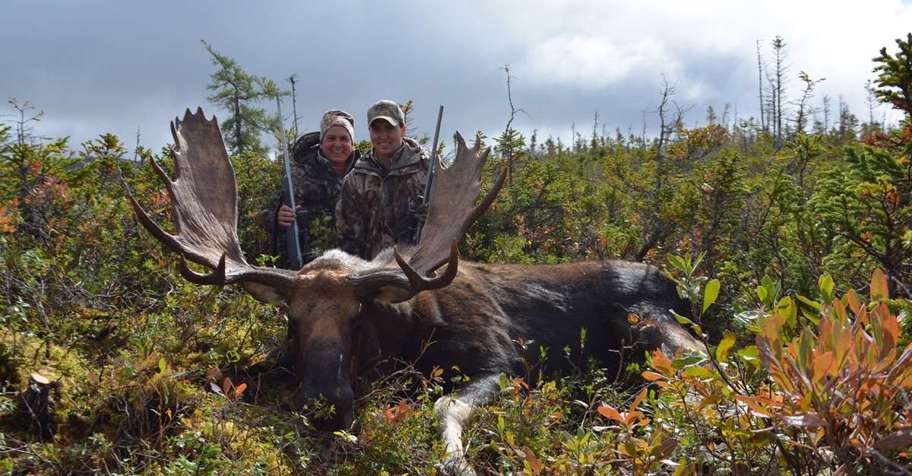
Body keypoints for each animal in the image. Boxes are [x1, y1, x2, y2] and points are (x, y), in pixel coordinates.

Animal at [128, 108, 701, 475]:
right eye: (292, 319)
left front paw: (456, 461)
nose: (324, 401)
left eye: (359, 315)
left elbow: (445, 404)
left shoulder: (503, 359)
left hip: (653, 328)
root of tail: (677, 283)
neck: (408, 333)